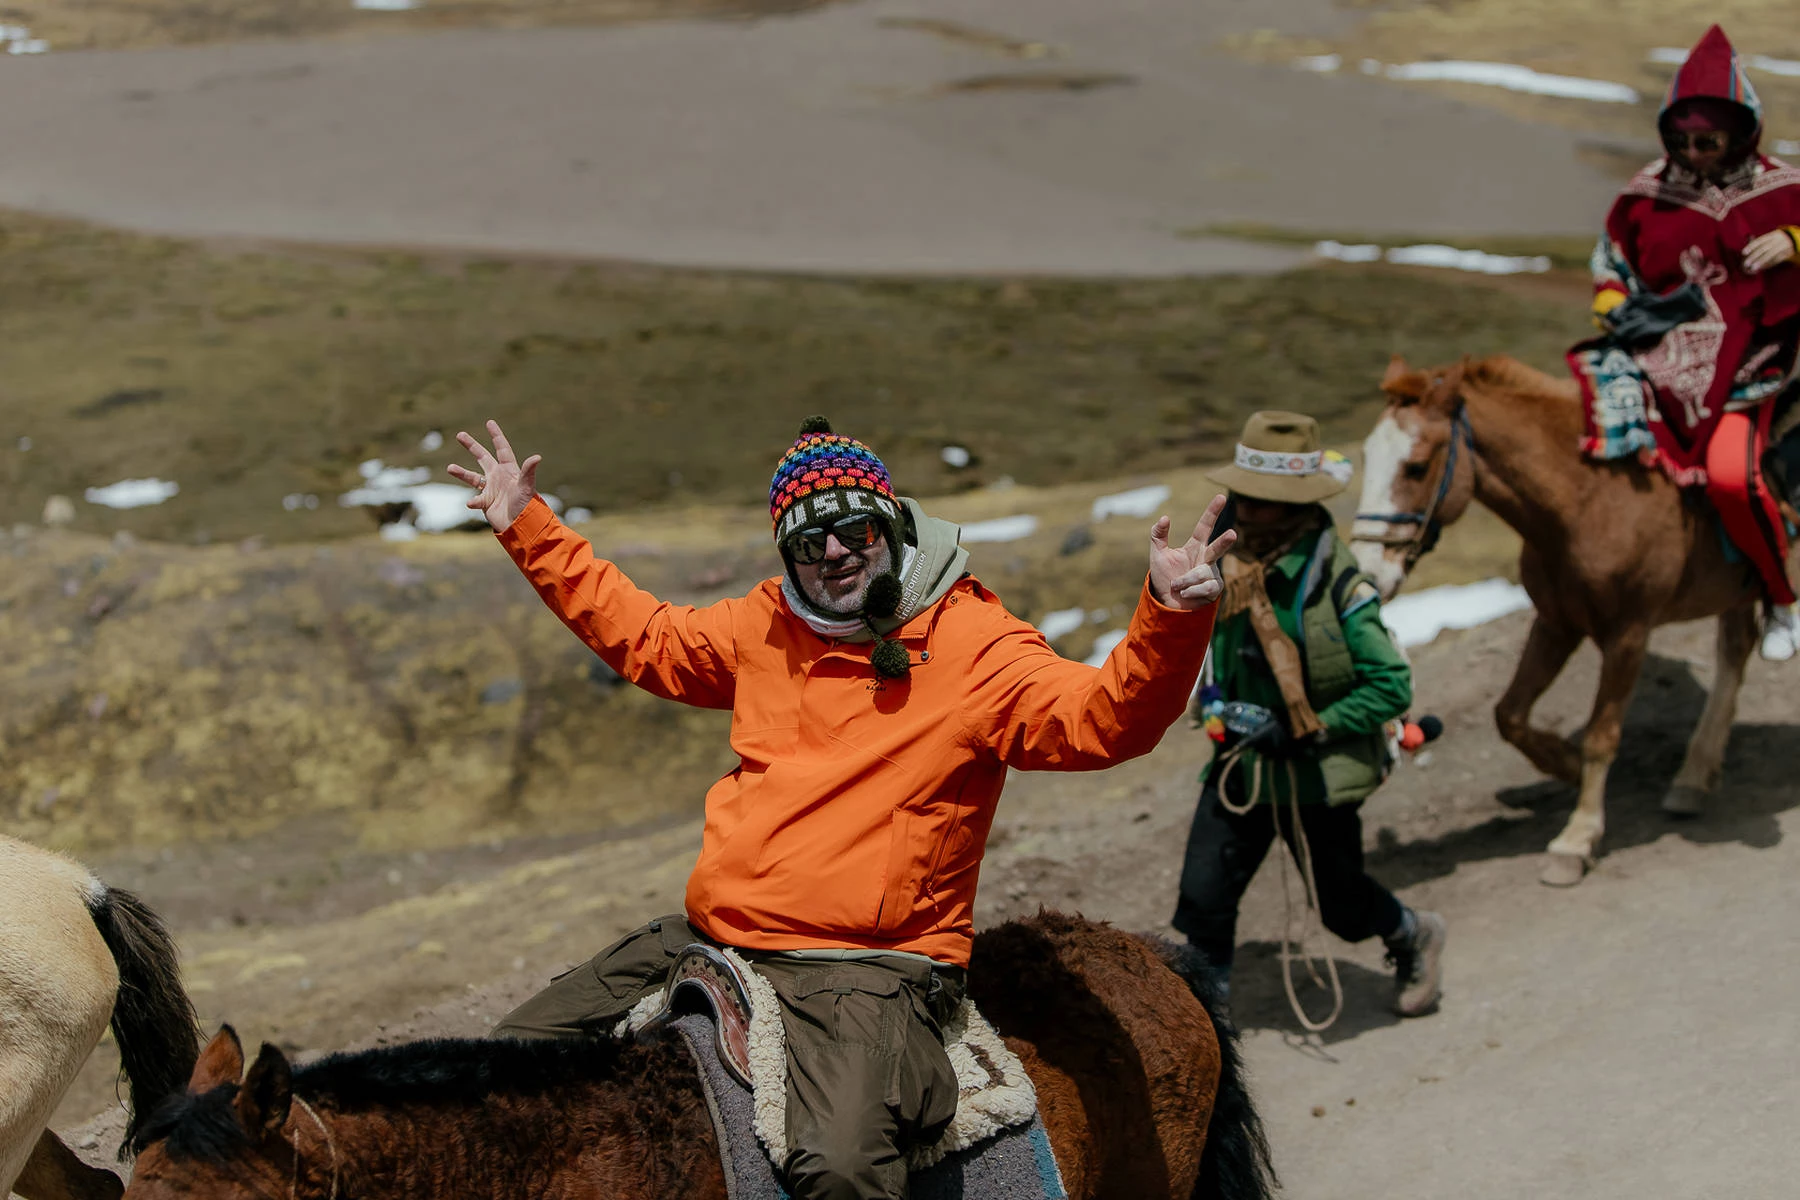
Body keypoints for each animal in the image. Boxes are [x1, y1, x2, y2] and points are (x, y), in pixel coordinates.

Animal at [1353, 352, 1771, 888]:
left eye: (1417, 466)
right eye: (1368, 459)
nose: (1367, 572)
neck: (1589, 501)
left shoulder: (1628, 634)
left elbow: (1600, 735)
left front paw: (1576, 839)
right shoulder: (1556, 622)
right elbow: (1509, 715)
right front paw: (1568, 768)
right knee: (1735, 650)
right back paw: (1693, 778)